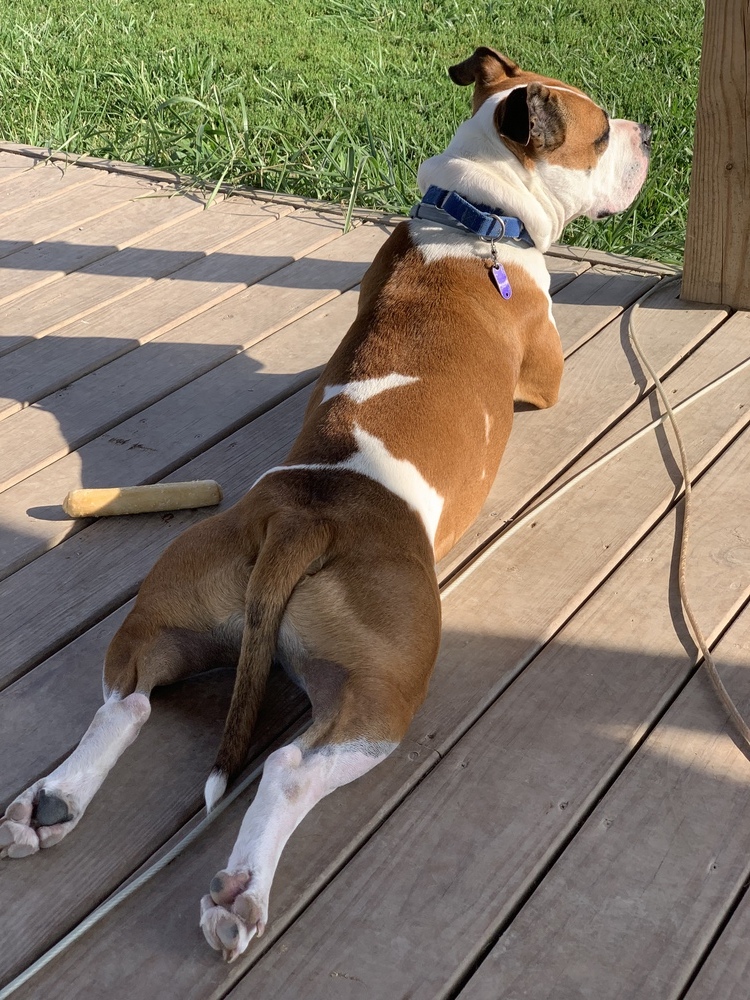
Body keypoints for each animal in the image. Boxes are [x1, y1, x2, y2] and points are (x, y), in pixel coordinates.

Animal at [0, 48, 652, 960]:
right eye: (598, 137)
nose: (645, 132)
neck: (472, 219)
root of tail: (306, 515)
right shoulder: (546, 376)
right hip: (385, 687)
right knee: (289, 768)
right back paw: (239, 893)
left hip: (175, 604)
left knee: (126, 700)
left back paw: (52, 802)